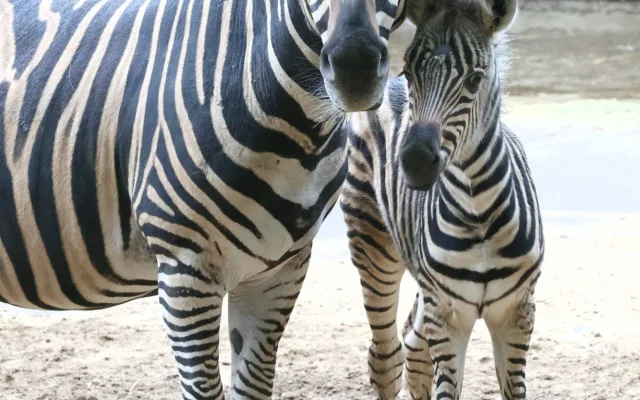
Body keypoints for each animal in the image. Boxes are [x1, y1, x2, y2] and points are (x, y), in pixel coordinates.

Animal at [340, 0, 544, 398]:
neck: (478, 212)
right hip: (372, 244)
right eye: (411, 72)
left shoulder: (516, 312)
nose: (415, 162)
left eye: (474, 81)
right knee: (386, 357)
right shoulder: (448, 316)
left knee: (413, 346)